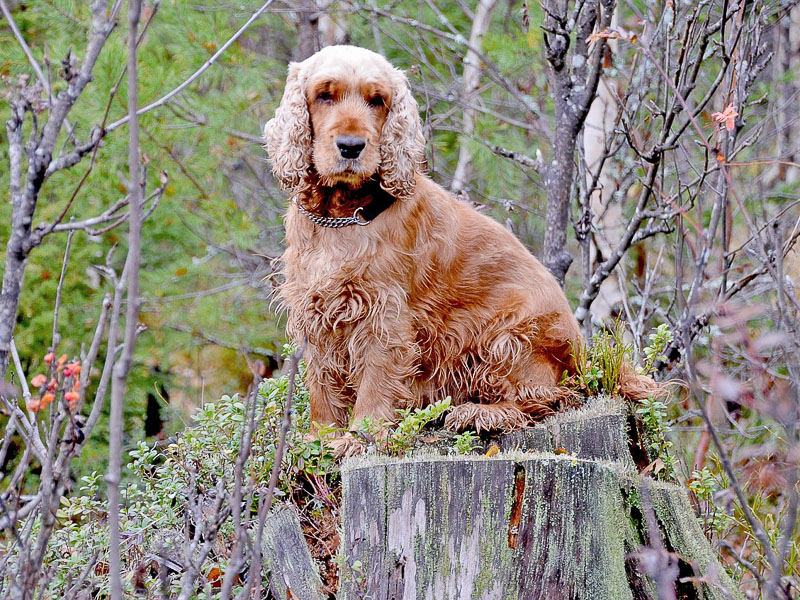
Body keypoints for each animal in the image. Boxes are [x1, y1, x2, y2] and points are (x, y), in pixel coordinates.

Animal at [264, 45, 664, 450]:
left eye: (377, 100)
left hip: (508, 338)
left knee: (544, 398)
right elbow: (322, 384)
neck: (344, 215)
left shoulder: (383, 313)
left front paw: (361, 438)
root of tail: (582, 351)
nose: (351, 147)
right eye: (324, 95)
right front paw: (320, 440)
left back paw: (478, 414)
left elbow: (375, 380)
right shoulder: (316, 308)